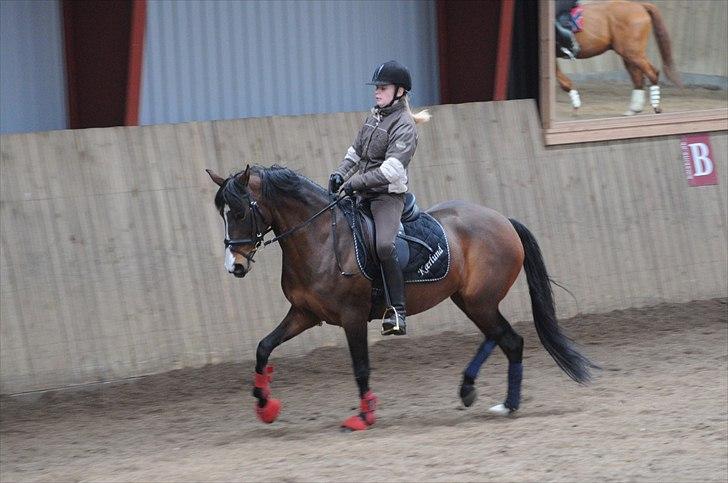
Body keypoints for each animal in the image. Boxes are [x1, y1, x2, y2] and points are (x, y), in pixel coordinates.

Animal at [206, 164, 596, 431]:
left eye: (239, 212)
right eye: (222, 214)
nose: (234, 266)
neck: (320, 238)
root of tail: (503, 220)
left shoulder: (351, 317)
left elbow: (360, 366)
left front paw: (365, 416)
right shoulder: (303, 313)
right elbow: (263, 348)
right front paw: (263, 405)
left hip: (479, 301)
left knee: (510, 341)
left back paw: (508, 404)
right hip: (470, 300)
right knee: (498, 336)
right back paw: (470, 389)